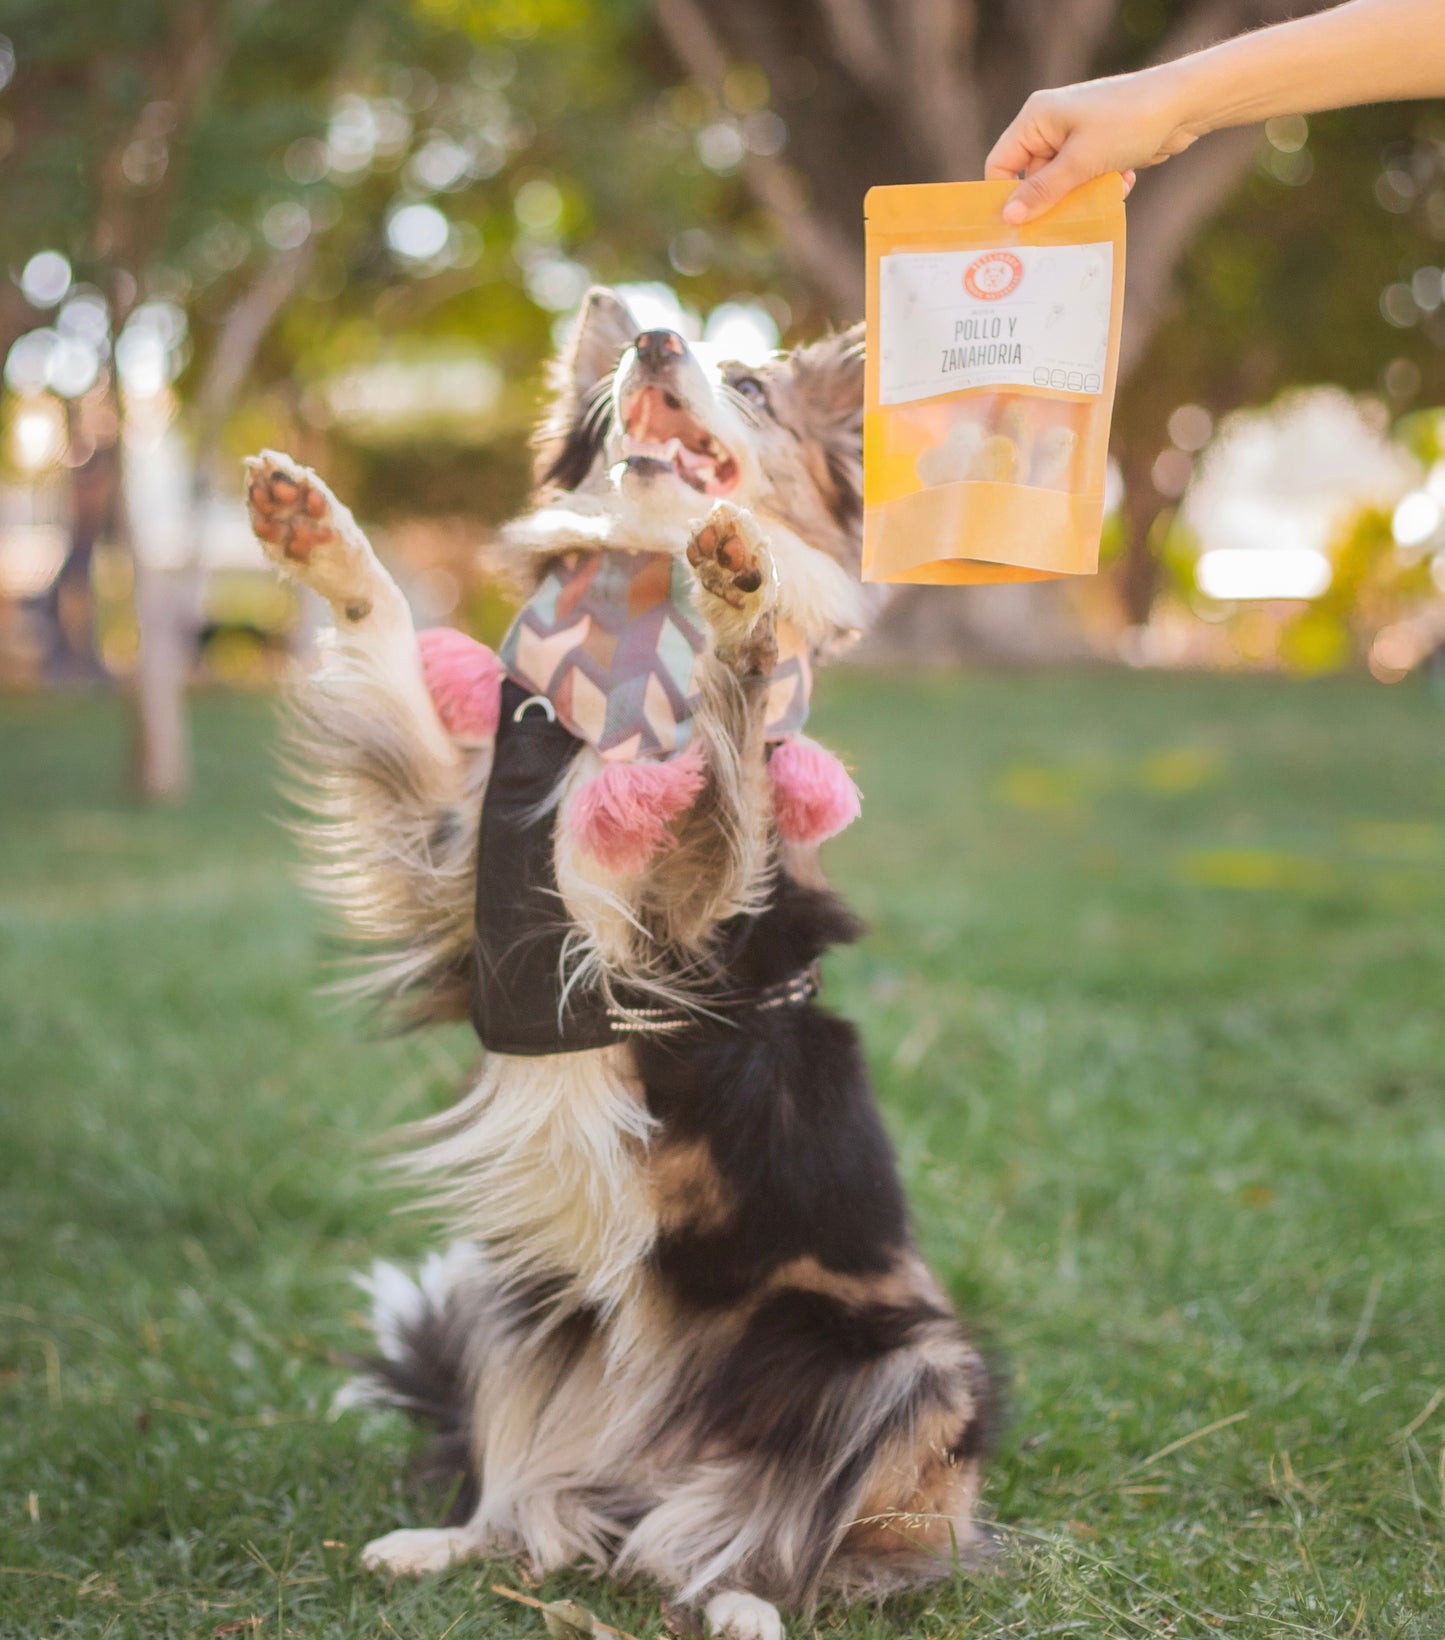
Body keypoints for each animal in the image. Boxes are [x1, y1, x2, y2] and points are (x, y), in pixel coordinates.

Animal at [247, 288, 990, 1633]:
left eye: (746, 386)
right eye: (652, 333)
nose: (652, 340)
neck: (628, 632)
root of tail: (656, 1471)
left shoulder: (682, 924)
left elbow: (735, 747)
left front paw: (744, 606)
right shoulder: (456, 862)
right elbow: (388, 646)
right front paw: (316, 536)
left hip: (901, 1366)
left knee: (799, 1536)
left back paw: (747, 1596)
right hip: (517, 1300)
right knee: (534, 1510)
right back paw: (454, 1541)